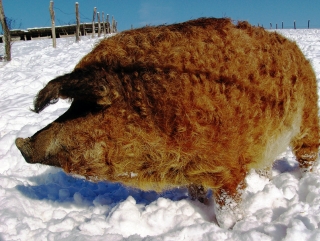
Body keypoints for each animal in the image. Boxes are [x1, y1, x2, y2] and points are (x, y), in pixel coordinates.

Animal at [15, 17, 320, 229]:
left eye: (88, 107)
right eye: (73, 106)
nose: (20, 144)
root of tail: (297, 52)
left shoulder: (228, 167)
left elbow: (226, 208)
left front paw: (232, 228)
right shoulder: (195, 170)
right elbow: (197, 193)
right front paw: (197, 206)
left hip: (308, 121)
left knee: (308, 154)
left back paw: (309, 179)